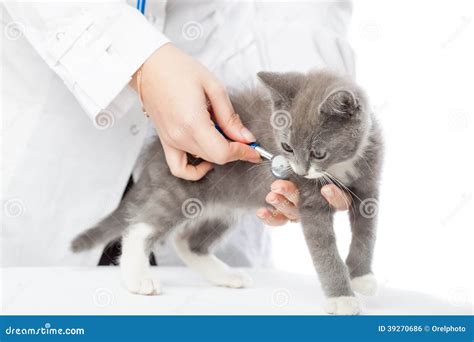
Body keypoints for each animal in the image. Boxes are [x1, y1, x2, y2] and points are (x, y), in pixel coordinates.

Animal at [70, 69, 384, 316]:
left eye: (318, 153)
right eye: (287, 147)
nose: (300, 170)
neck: (340, 166)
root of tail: (156, 151)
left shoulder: (370, 182)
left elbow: (367, 232)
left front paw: (362, 276)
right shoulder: (308, 198)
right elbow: (323, 248)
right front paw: (342, 298)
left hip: (227, 205)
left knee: (187, 241)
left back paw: (225, 275)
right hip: (180, 187)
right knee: (140, 227)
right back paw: (138, 278)